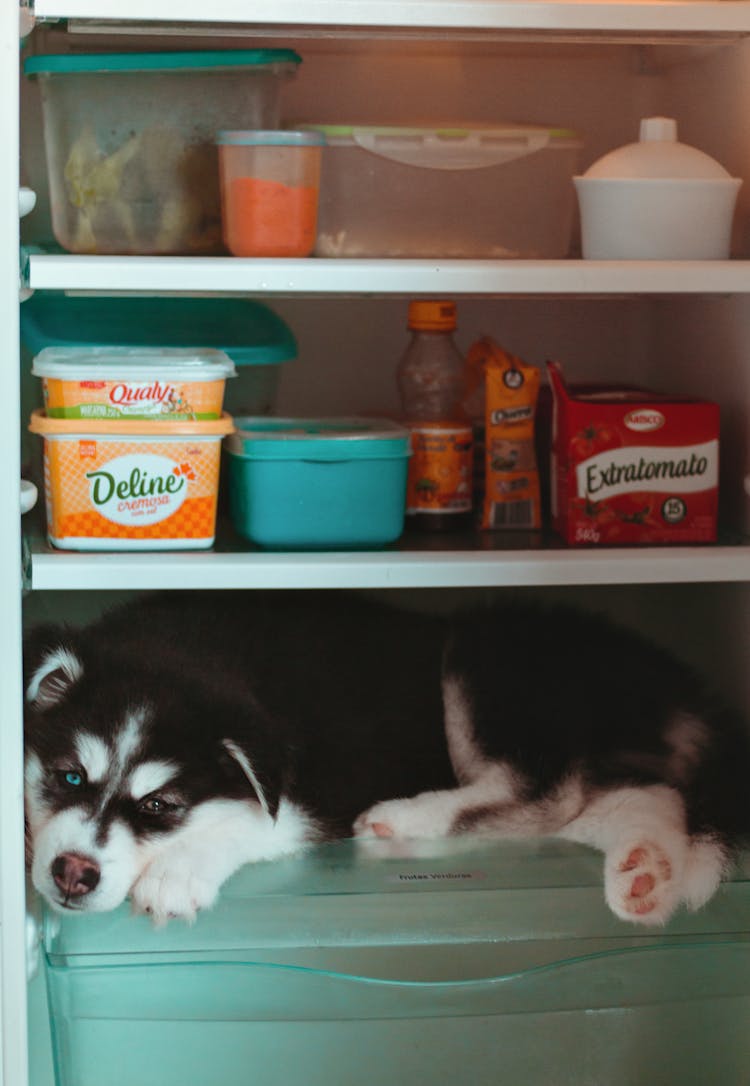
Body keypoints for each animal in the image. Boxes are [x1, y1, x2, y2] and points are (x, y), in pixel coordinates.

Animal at [23, 595, 750, 925]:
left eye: (160, 806)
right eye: (67, 776)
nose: (73, 874)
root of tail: (662, 675)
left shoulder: (314, 787)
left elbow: (251, 823)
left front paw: (177, 874)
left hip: (480, 656)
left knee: (547, 788)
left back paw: (405, 817)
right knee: (639, 796)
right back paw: (645, 874)